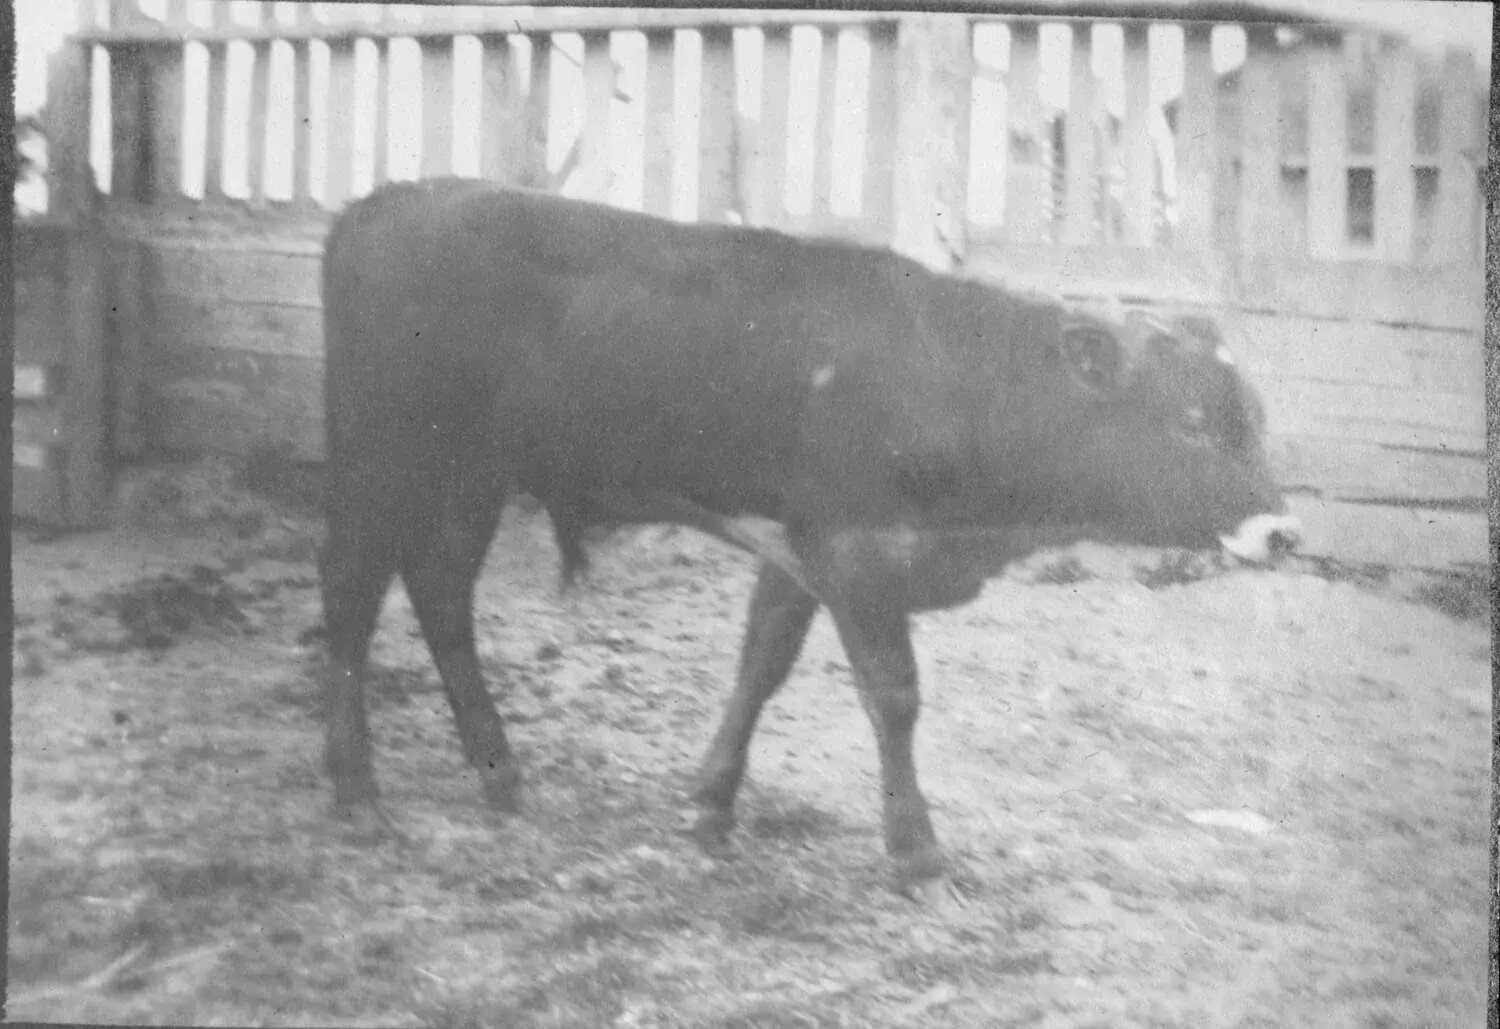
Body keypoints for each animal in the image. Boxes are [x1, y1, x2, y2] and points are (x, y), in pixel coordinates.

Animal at [319, 178, 1298, 898]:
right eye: (1190, 422)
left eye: (1253, 417)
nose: (1283, 532)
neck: (949, 380)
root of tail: (383, 201)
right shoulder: (855, 549)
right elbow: (893, 695)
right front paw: (916, 852)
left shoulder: (797, 549)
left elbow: (761, 665)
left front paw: (711, 806)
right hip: (382, 464)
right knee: (353, 600)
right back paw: (357, 791)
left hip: (470, 477)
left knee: (441, 591)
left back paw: (498, 771)